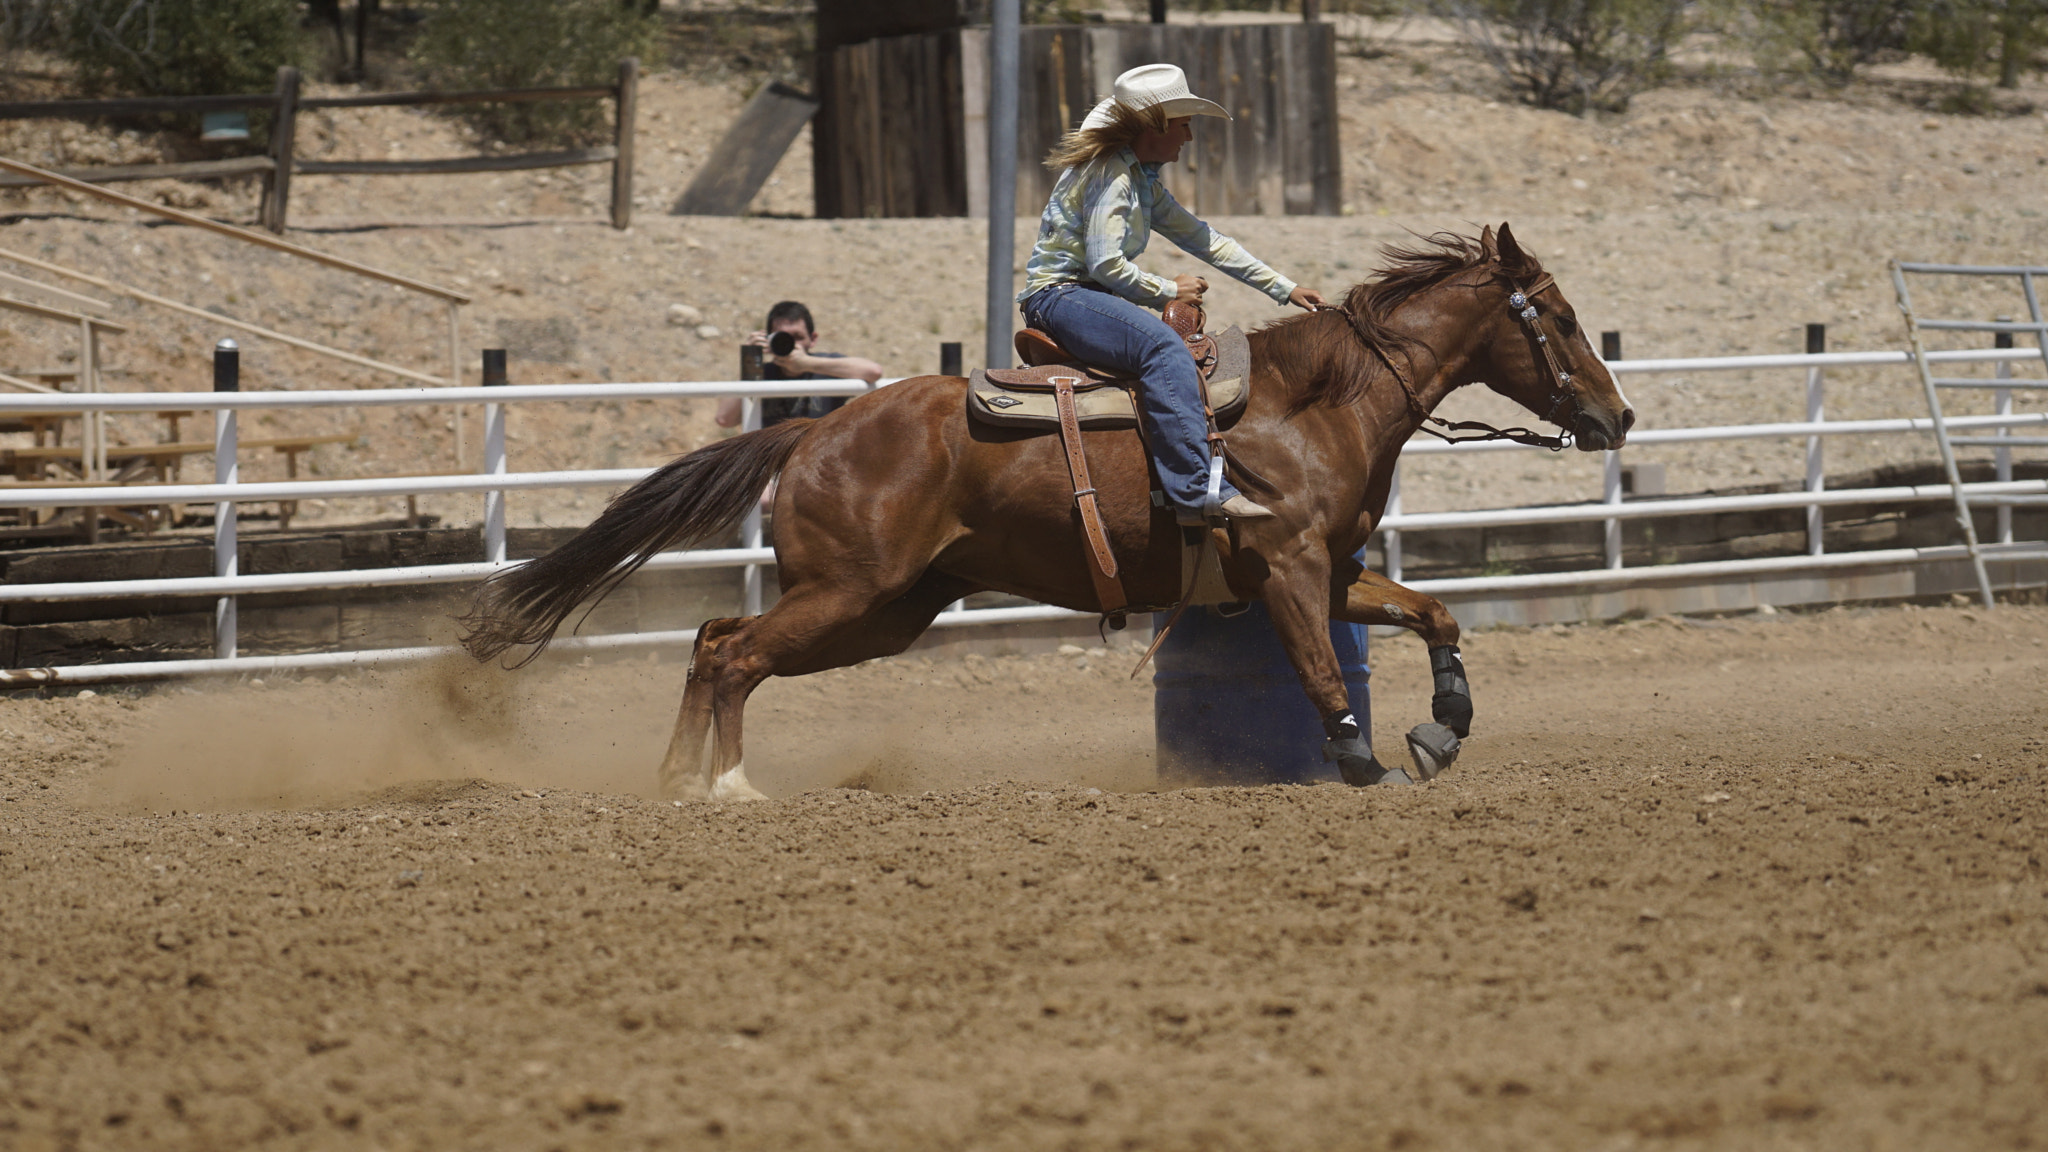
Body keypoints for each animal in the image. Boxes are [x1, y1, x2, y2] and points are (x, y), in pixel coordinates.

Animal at [460, 224, 1630, 799]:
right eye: (1562, 317)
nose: (1616, 415)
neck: (1316, 401)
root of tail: (815, 430)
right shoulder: (1291, 570)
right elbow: (1314, 672)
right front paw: (1364, 763)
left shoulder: (1332, 570)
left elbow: (1435, 614)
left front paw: (1442, 728)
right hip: (849, 594)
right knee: (732, 653)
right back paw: (728, 786)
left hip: (882, 612)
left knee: (713, 637)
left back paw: (675, 778)